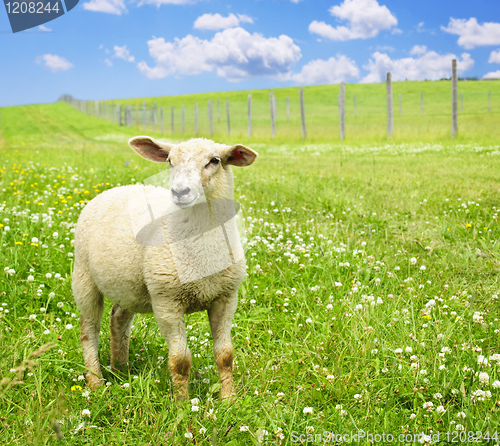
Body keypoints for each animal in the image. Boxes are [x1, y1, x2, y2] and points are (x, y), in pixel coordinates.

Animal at [73, 134, 260, 398]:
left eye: (214, 160)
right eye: (170, 161)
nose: (180, 191)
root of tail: (117, 188)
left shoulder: (225, 298)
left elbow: (225, 355)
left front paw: (229, 399)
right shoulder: (167, 302)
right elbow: (180, 361)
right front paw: (182, 403)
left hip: (129, 285)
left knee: (118, 318)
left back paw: (121, 369)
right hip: (84, 277)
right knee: (88, 331)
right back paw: (95, 381)